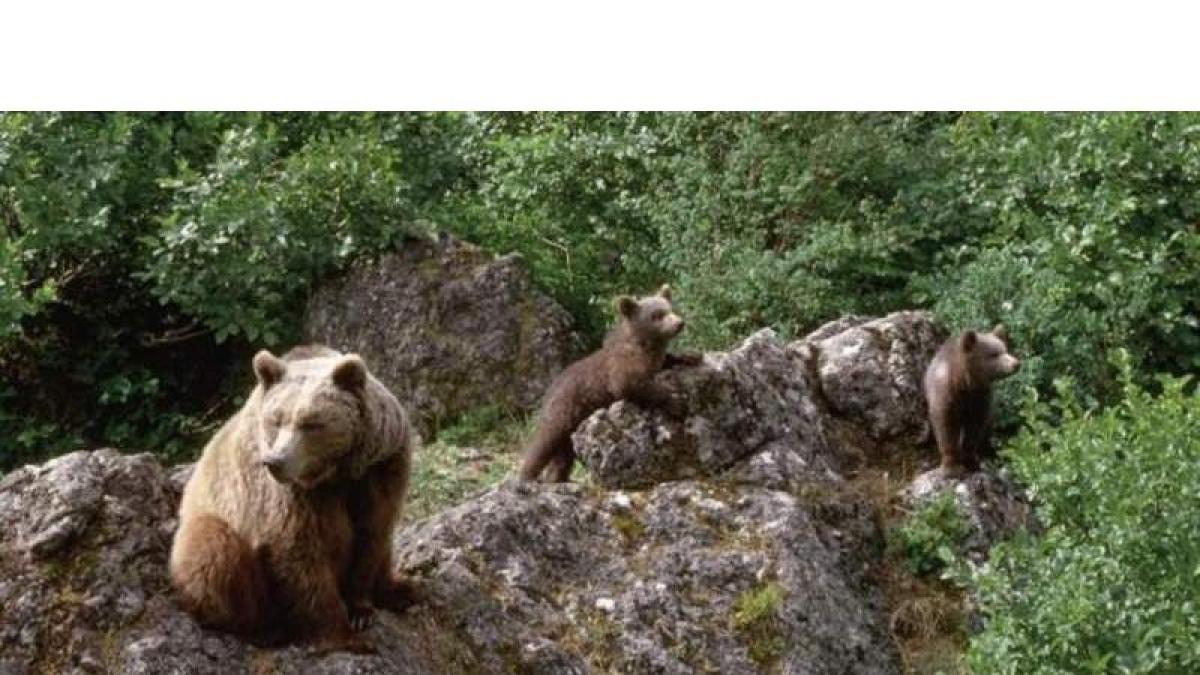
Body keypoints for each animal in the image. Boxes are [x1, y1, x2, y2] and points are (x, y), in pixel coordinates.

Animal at [169, 345, 418, 653]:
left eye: (310, 423)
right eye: (276, 420)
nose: (275, 461)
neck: (338, 473)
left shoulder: (381, 468)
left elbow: (373, 534)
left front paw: (361, 609)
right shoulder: (293, 497)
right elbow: (300, 551)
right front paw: (346, 636)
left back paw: (399, 590)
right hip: (217, 525)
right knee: (214, 550)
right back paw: (264, 629)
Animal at [518, 285, 700, 482]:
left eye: (669, 308)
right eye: (657, 315)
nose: (679, 323)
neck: (645, 346)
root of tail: (547, 392)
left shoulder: (653, 360)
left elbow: (667, 360)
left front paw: (691, 356)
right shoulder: (622, 368)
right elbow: (631, 385)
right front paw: (676, 403)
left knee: (563, 455)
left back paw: (558, 478)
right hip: (563, 410)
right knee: (543, 443)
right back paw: (526, 476)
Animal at [923, 324, 1021, 474]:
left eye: (1005, 349)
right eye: (994, 354)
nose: (1016, 364)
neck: (966, 382)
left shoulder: (981, 398)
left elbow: (975, 428)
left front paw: (971, 460)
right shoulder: (946, 396)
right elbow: (946, 427)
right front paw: (951, 466)